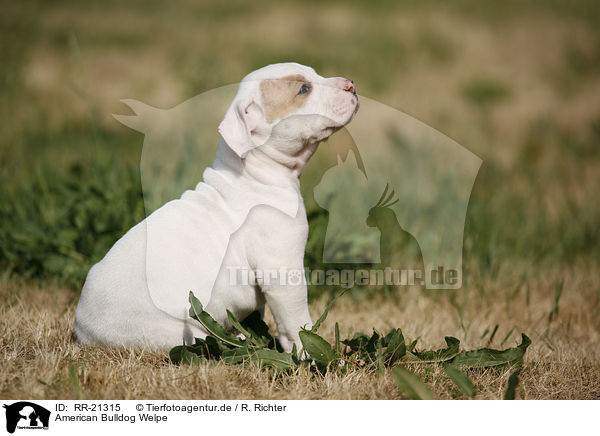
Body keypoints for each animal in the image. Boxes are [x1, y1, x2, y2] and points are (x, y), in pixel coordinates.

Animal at [73, 63, 358, 352]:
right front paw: (307, 351)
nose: (351, 85)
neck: (254, 172)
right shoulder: (282, 269)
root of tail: (83, 330)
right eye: (303, 89)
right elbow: (295, 320)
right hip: (174, 332)